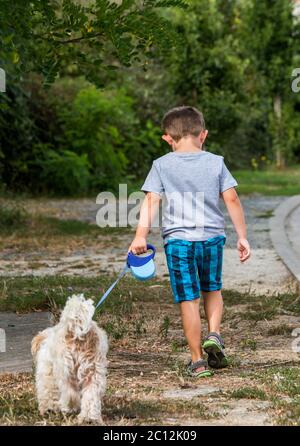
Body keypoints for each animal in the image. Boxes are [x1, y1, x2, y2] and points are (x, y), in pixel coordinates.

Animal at [31, 294, 108, 424]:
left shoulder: (47, 374)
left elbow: (48, 392)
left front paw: (48, 409)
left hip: (66, 370)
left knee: (70, 392)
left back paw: (69, 406)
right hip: (92, 371)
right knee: (90, 394)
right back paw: (88, 417)